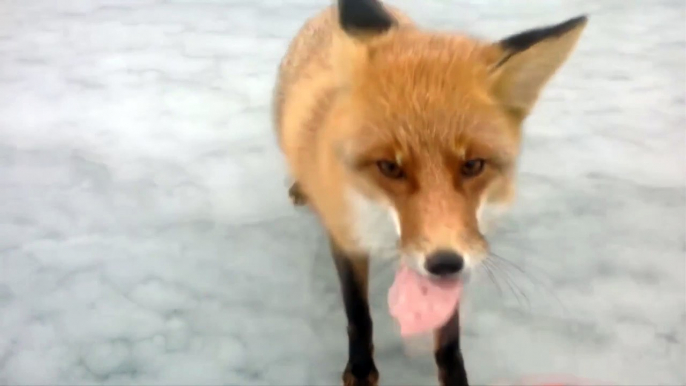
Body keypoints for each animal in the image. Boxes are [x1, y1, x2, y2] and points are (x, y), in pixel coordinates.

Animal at [272, 0, 584, 382]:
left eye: (473, 165)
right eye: (390, 167)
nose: (444, 262)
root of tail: (329, 12)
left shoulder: (465, 242)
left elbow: (448, 335)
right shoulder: (346, 236)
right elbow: (358, 313)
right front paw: (360, 368)